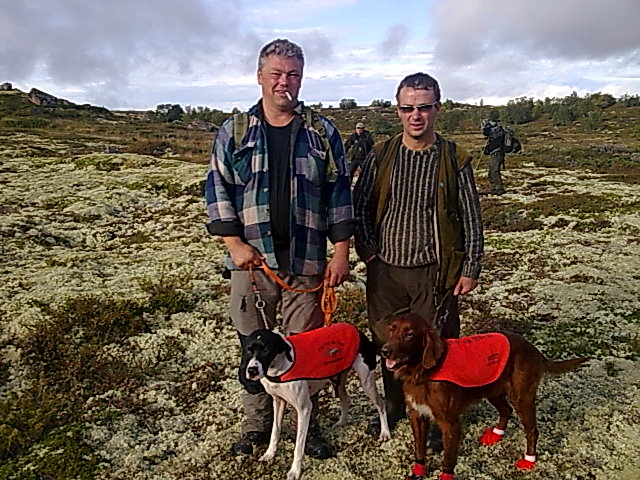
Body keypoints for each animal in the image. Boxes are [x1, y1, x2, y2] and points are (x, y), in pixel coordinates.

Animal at [244, 322, 390, 480]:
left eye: (265, 350)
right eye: (248, 350)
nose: (251, 371)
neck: (279, 366)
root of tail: (358, 331)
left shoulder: (304, 409)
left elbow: (299, 445)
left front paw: (295, 471)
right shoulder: (278, 401)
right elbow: (275, 432)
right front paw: (269, 454)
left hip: (366, 382)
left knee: (381, 405)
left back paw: (385, 432)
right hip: (337, 381)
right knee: (346, 400)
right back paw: (341, 422)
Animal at [382, 314, 588, 478]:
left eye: (409, 334)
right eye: (391, 329)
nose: (384, 351)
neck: (423, 371)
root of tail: (533, 349)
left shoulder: (450, 423)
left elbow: (448, 459)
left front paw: (445, 475)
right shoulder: (417, 416)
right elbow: (419, 449)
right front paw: (418, 473)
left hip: (522, 397)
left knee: (532, 430)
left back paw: (528, 460)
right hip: (492, 390)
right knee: (506, 410)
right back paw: (496, 435)